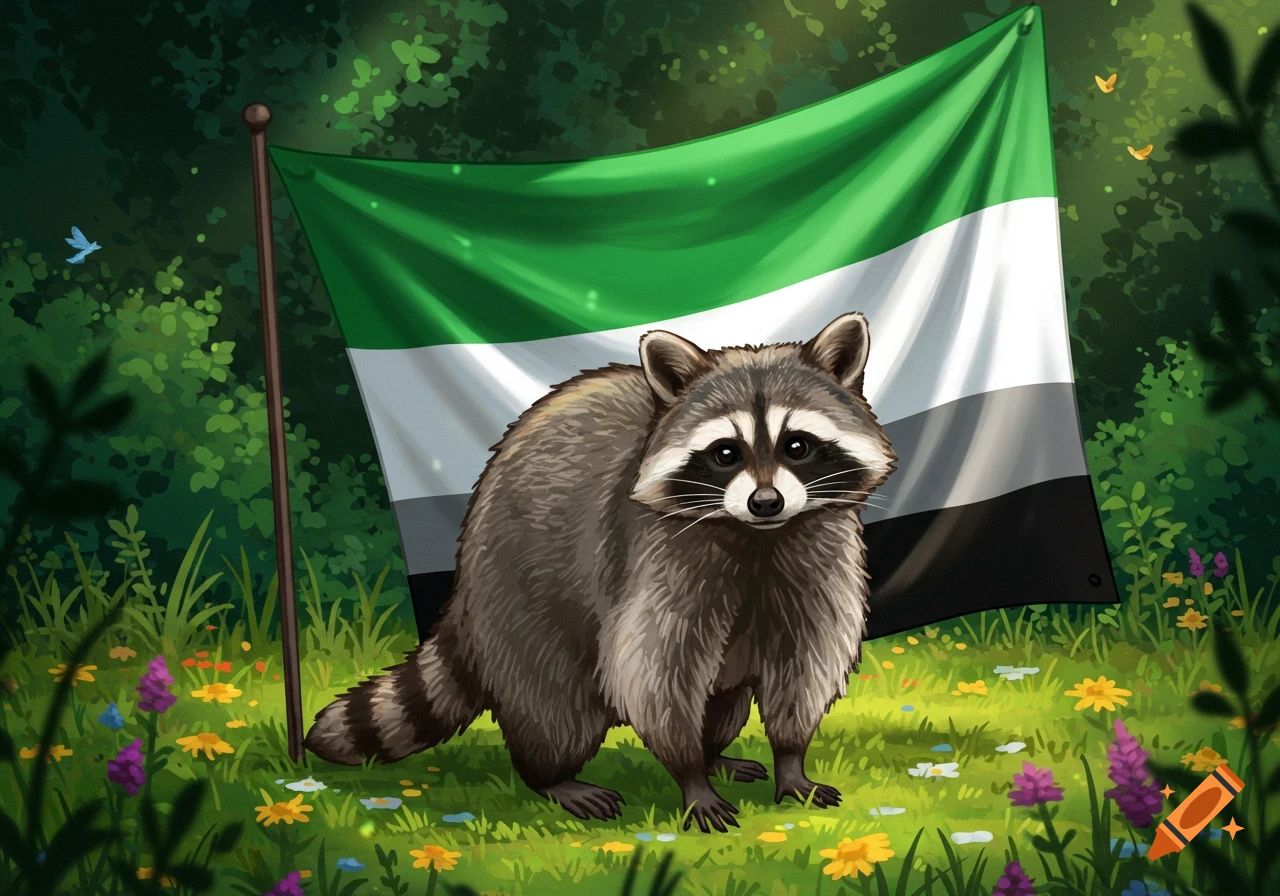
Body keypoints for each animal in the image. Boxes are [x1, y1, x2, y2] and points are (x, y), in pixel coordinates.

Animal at [305, 312, 897, 832]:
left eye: (797, 446)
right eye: (726, 453)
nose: (766, 501)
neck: (757, 537)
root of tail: (465, 579)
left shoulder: (817, 556)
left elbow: (804, 665)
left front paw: (790, 758)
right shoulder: (655, 558)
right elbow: (654, 674)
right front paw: (690, 775)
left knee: (722, 702)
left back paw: (715, 753)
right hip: (518, 593)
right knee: (551, 703)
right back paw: (555, 776)